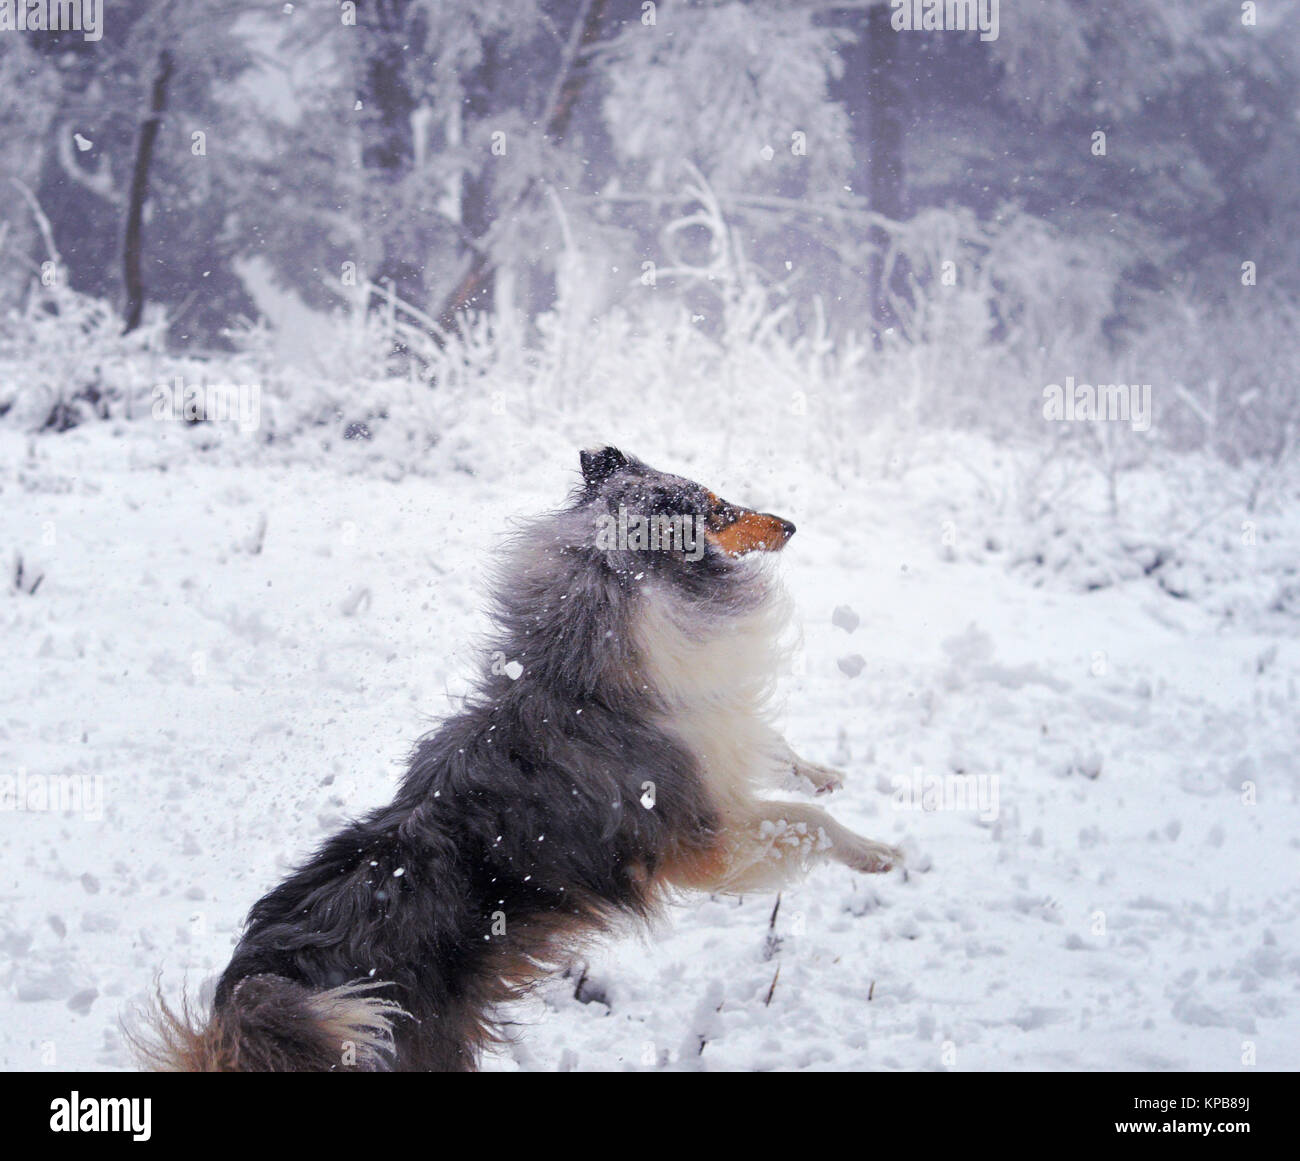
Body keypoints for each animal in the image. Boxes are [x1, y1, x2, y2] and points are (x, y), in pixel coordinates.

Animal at [137, 444, 899, 1071]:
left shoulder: (717, 731)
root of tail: (239, 1005)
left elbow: (776, 755)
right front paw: (882, 854)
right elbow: (806, 823)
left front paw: (825, 774)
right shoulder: (701, 839)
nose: (791, 524)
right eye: (715, 506)